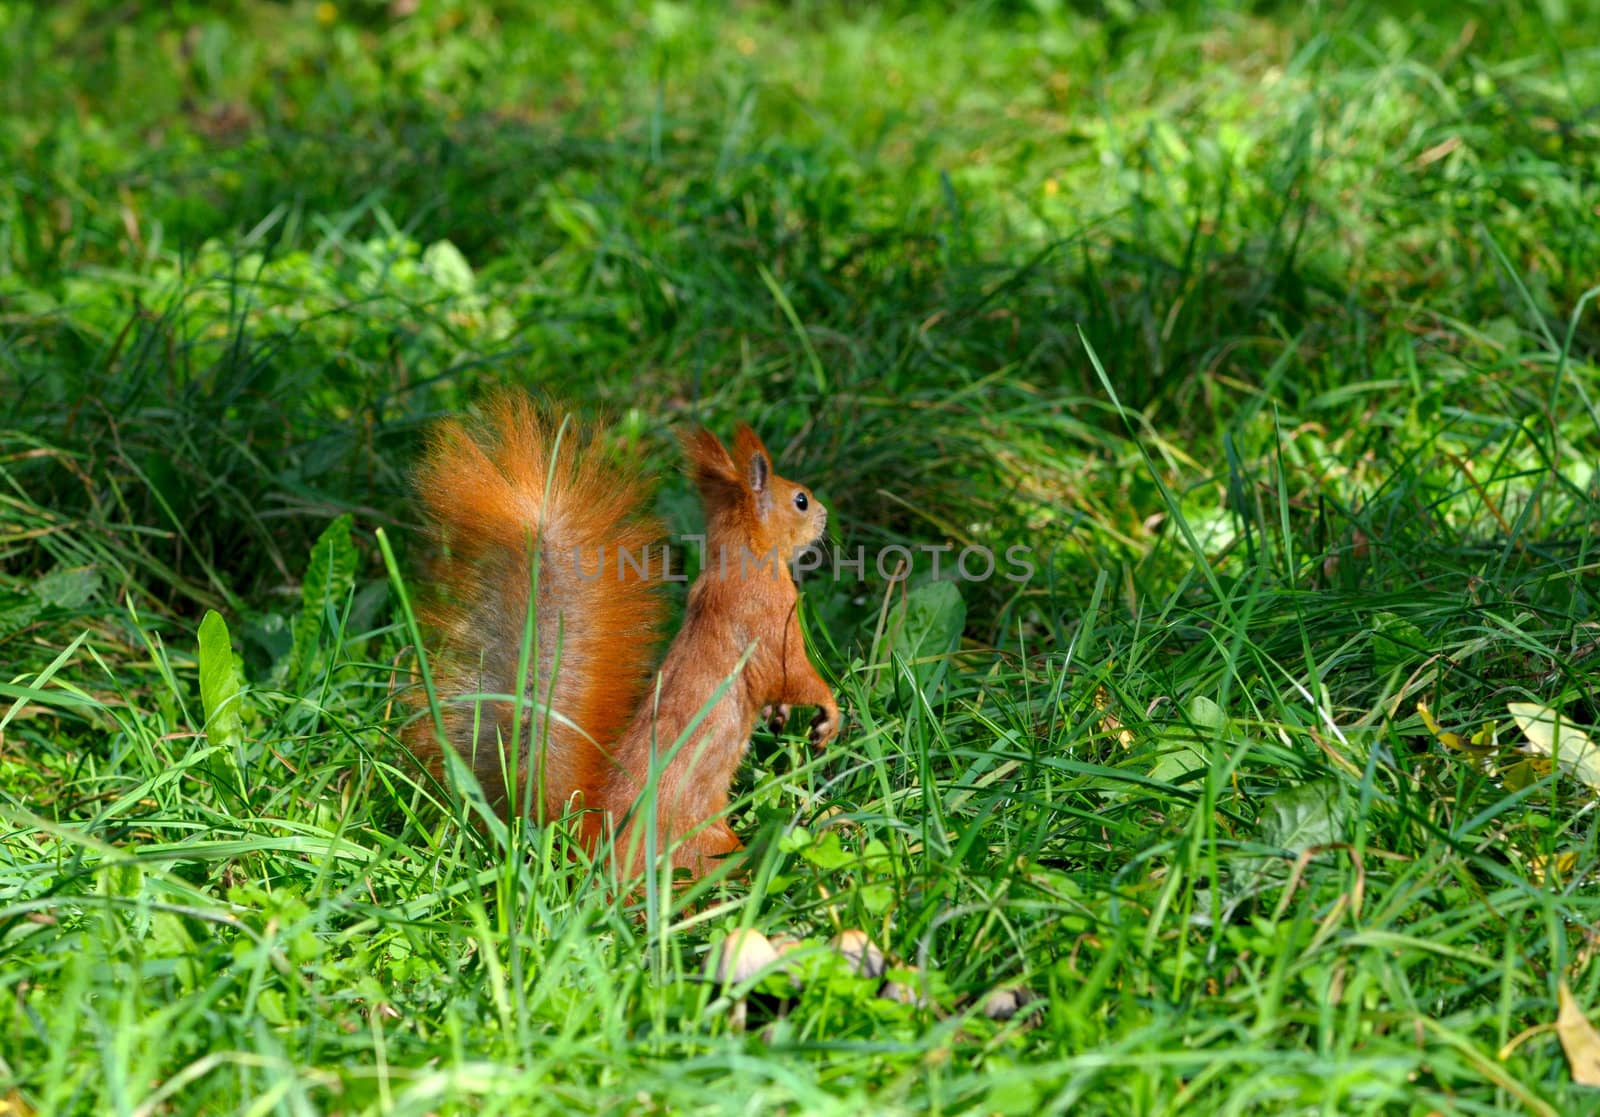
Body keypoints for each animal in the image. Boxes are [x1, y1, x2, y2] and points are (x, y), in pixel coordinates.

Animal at [409, 395, 838, 876]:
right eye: (800, 500)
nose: (824, 515)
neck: (741, 561)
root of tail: (586, 842)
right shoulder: (770, 616)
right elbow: (791, 673)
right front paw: (829, 711)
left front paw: (780, 715)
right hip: (701, 845)